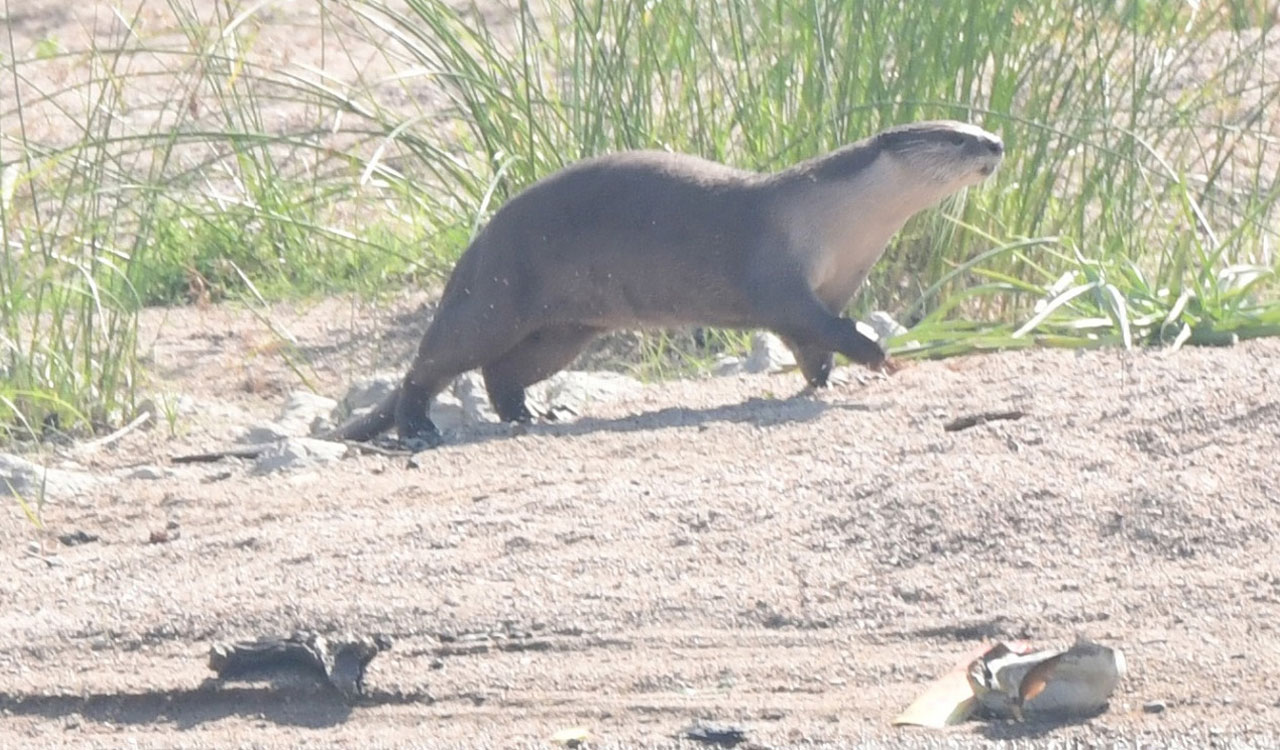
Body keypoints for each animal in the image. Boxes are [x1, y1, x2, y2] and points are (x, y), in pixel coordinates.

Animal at [334, 120, 1003, 448]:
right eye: (956, 136)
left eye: (976, 124)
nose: (996, 142)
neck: (837, 225)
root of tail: (478, 240)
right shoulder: (779, 279)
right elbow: (818, 325)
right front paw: (880, 356)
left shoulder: (835, 283)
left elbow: (814, 344)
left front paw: (822, 383)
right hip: (496, 297)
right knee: (431, 363)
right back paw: (418, 429)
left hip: (567, 331)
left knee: (503, 373)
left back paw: (535, 415)